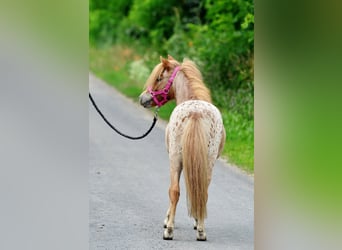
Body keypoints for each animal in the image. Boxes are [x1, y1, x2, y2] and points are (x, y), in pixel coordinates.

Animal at [139, 55, 227, 240]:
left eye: (159, 78)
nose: (142, 99)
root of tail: (195, 113)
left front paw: (168, 221)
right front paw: (196, 219)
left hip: (175, 159)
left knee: (174, 191)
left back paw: (169, 231)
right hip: (208, 161)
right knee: (203, 191)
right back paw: (201, 231)